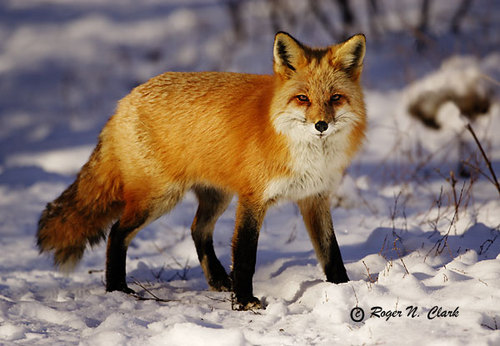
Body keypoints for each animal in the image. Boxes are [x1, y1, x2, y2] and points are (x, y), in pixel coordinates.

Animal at [37, 31, 366, 310]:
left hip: (215, 197)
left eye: (335, 98)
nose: (321, 125)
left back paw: (218, 279)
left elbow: (331, 252)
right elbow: (245, 255)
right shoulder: (253, 198)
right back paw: (117, 288)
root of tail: (124, 102)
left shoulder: (314, 197)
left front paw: (343, 288)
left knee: (197, 230)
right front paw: (244, 302)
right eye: (303, 99)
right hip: (158, 198)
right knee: (117, 233)